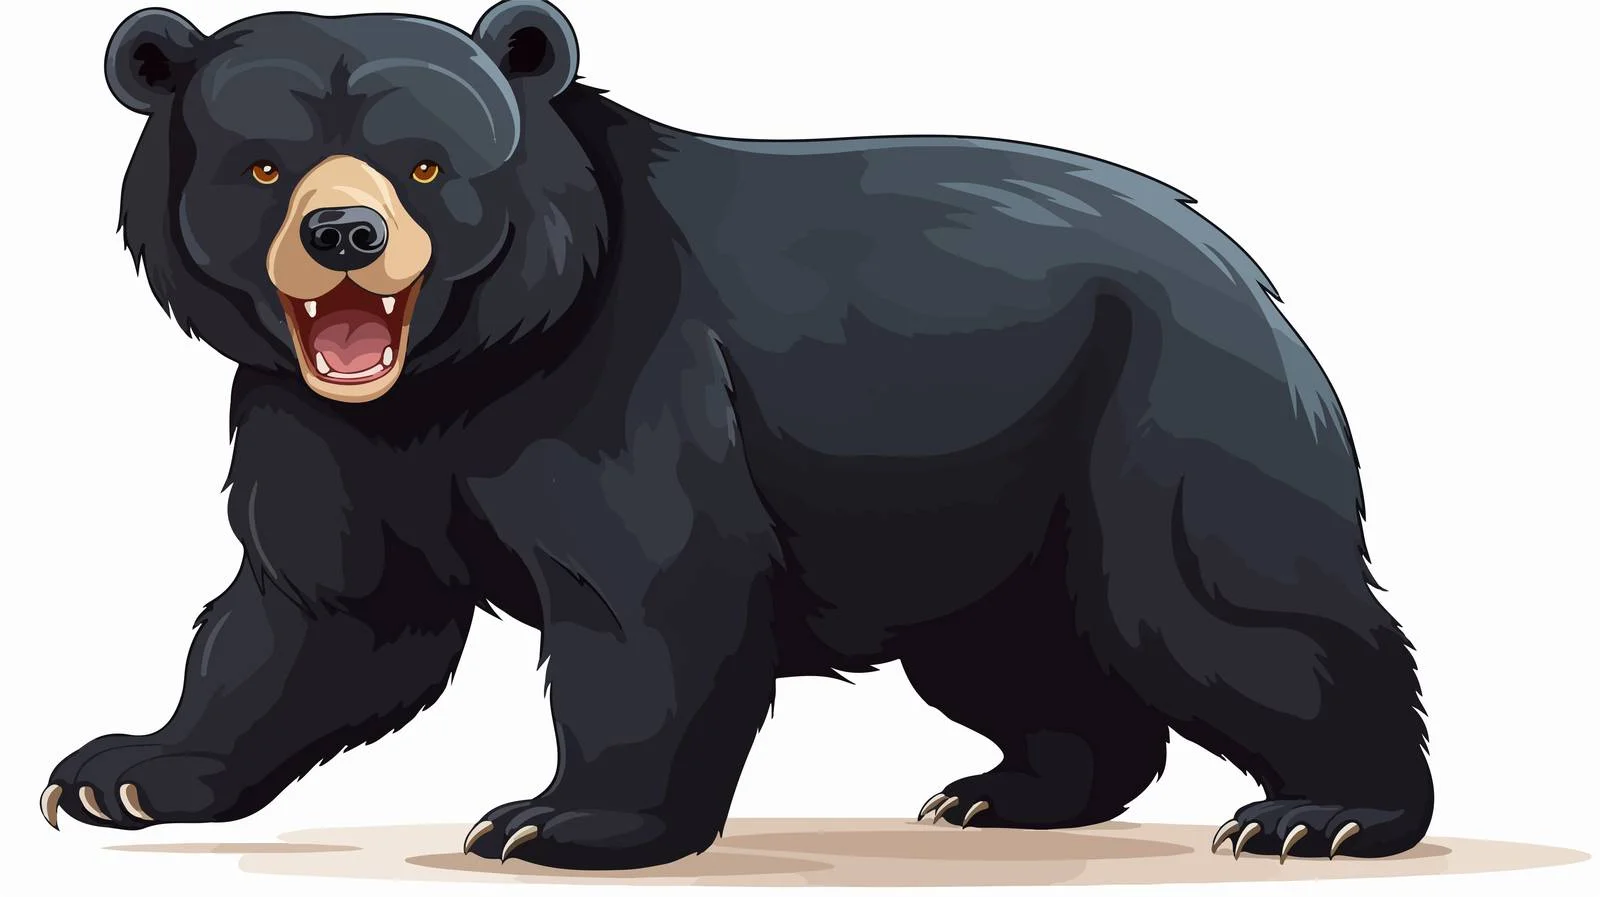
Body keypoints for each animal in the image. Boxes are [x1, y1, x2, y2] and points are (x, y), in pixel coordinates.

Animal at [45, 0, 1433, 871]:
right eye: (264, 167)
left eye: (427, 165)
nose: (347, 233)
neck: (458, 369)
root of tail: (1240, 265)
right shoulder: (323, 432)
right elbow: (321, 612)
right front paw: (120, 771)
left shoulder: (621, 379)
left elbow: (649, 591)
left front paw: (558, 821)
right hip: (980, 494)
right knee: (1015, 653)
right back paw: (1008, 790)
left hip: (1159, 408)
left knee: (1223, 605)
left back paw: (1324, 811)